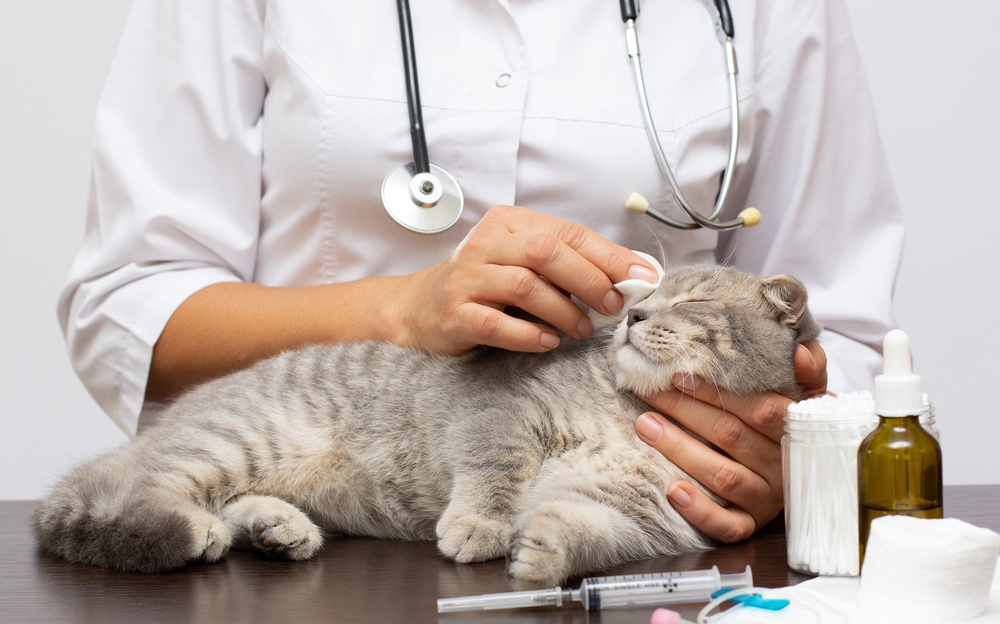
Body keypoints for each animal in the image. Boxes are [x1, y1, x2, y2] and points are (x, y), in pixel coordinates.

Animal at [35, 266, 824, 588]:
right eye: (644, 294)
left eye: (687, 300)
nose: (630, 315)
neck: (631, 412)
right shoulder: (502, 411)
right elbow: (494, 467)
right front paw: (481, 525)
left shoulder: (637, 517)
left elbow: (587, 534)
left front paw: (543, 550)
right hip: (232, 442)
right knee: (132, 496)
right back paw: (186, 527)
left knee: (224, 506)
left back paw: (274, 527)